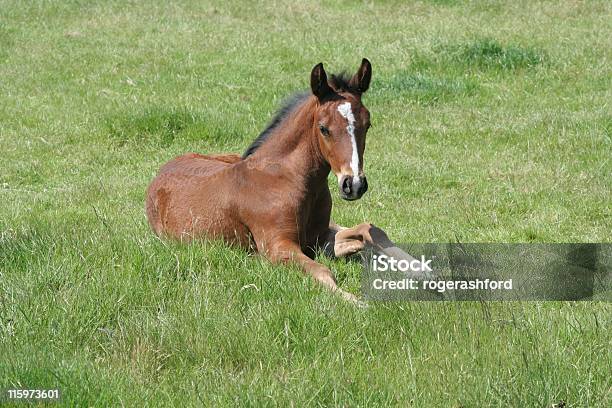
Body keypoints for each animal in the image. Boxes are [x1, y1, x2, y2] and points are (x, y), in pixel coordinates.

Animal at [146, 59, 388, 302]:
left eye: (367, 125)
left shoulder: (319, 238)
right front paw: (356, 301)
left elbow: (366, 230)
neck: (287, 179)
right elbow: (322, 270)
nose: (354, 185)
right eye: (323, 129)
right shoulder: (277, 246)